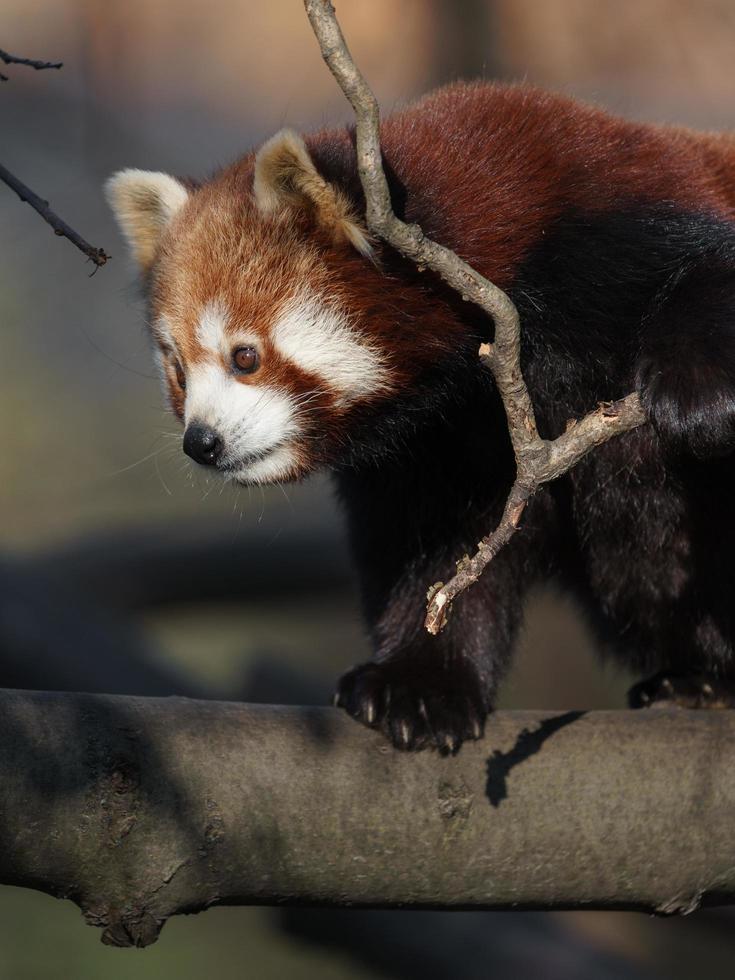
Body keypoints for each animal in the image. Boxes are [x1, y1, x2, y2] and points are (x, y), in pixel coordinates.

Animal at [106, 84, 735, 756]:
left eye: (244, 357)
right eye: (178, 371)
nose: (202, 442)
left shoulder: (607, 225)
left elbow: (706, 272)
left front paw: (699, 387)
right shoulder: (445, 445)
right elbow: (441, 554)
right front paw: (418, 682)